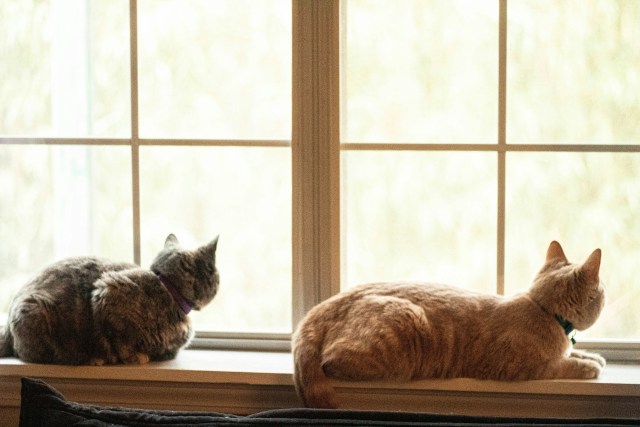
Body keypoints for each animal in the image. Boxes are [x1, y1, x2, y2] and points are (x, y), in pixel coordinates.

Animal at [0, 232, 219, 366]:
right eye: (216, 275)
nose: (219, 281)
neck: (167, 288)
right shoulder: (106, 291)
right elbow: (120, 341)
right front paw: (134, 357)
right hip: (36, 310)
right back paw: (91, 358)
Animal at [294, 242, 604, 410]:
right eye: (602, 292)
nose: (605, 294)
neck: (543, 309)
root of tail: (328, 304)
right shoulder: (519, 367)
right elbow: (561, 365)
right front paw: (588, 366)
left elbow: (572, 353)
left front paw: (591, 355)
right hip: (403, 323)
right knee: (331, 361)